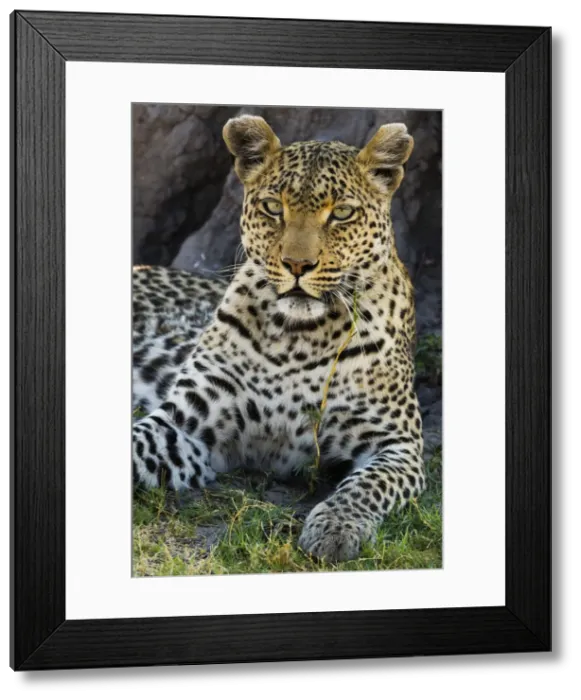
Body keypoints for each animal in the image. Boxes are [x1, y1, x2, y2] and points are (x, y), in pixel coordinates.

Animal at [132, 114, 425, 563]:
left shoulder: (399, 444)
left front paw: (335, 527)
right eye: (273, 208)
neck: (299, 338)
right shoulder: (186, 424)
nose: (297, 265)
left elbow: (368, 485)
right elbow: (133, 442)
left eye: (342, 213)